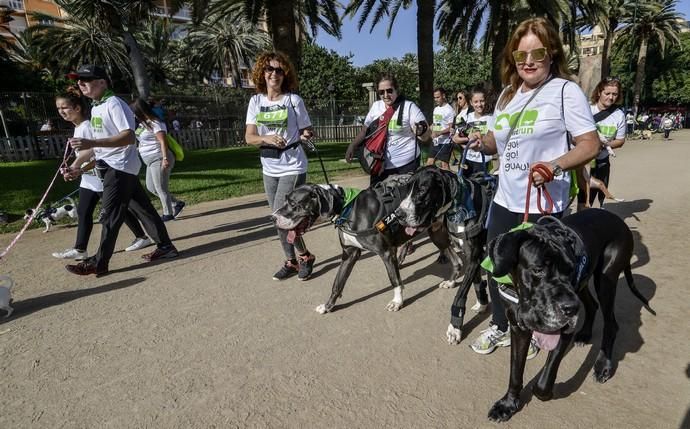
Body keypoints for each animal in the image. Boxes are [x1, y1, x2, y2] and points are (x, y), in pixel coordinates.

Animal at [272, 168, 460, 314]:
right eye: (285, 199)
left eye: (293, 203)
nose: (273, 217)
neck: (347, 208)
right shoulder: (349, 254)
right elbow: (337, 283)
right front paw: (328, 306)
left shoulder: (386, 252)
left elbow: (395, 280)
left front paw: (397, 302)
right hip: (436, 233)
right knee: (456, 260)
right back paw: (451, 281)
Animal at [482, 208, 652, 422]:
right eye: (538, 269)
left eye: (571, 269)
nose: (570, 308)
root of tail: (618, 219)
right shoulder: (518, 328)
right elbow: (515, 371)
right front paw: (508, 404)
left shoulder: (563, 330)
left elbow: (543, 383)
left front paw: (545, 392)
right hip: (583, 286)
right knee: (592, 305)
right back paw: (585, 334)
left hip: (605, 280)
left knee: (611, 323)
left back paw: (603, 365)